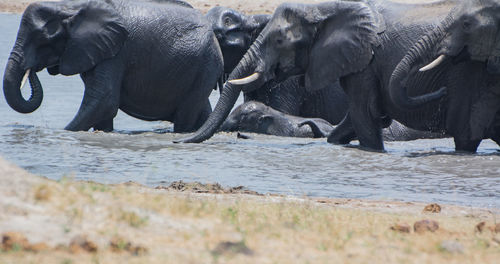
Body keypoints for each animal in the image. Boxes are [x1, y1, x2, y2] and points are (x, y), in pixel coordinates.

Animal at [3, 0, 223, 132]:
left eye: (43, 39)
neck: (71, 6)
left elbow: (104, 101)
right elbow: (102, 108)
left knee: (186, 115)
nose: (31, 68)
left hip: (205, 65)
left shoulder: (117, 52)